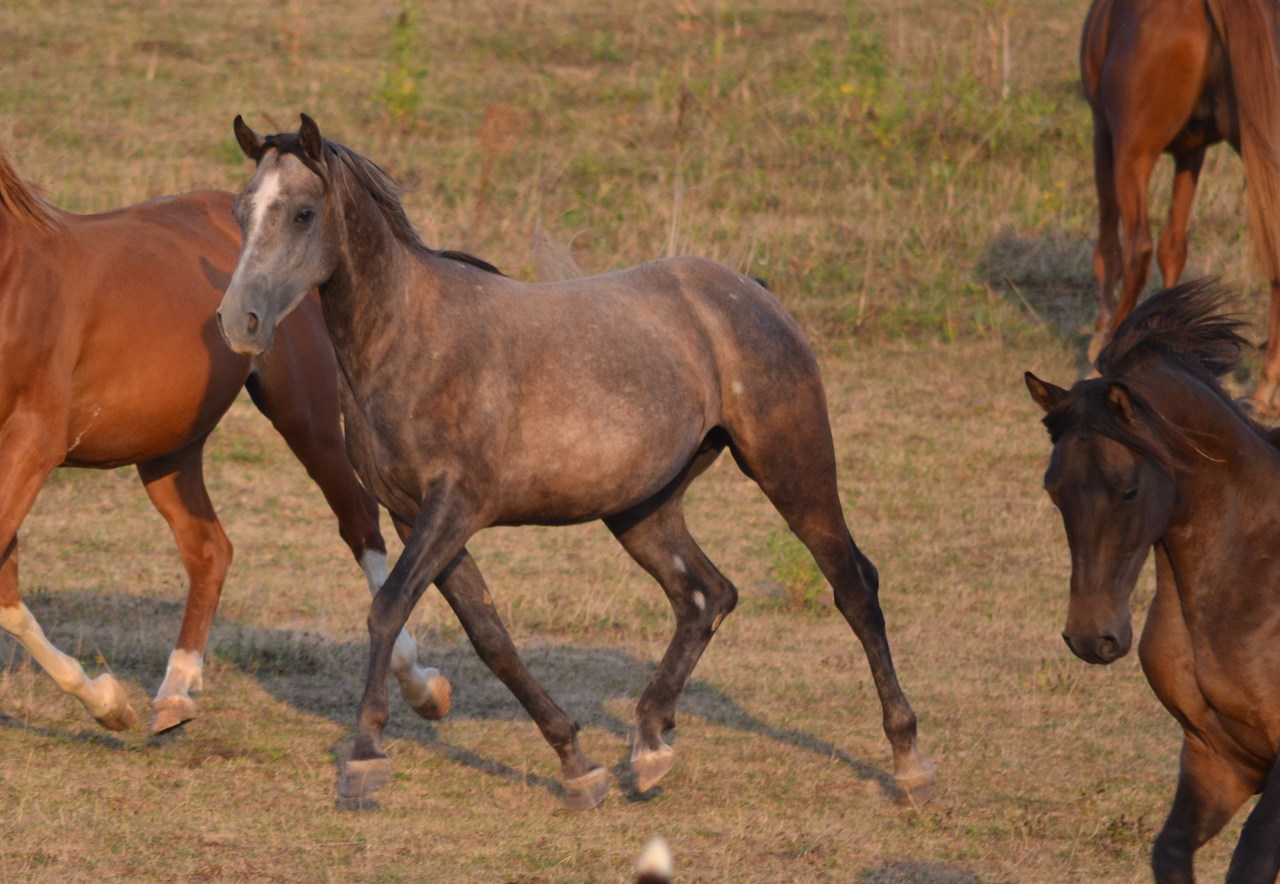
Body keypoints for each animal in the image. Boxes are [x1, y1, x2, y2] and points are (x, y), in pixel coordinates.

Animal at [0, 152, 450, 741]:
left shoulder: (33, 443)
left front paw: (107, 702)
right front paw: (109, 702)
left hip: (306, 420)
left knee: (358, 521)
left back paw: (424, 688)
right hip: (169, 448)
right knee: (210, 549)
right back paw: (174, 694)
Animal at [215, 113, 936, 813]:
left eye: (303, 213)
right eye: (243, 208)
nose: (237, 321)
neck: (409, 341)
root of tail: (751, 292)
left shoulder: (455, 507)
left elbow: (388, 609)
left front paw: (364, 758)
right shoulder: (411, 515)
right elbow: (490, 636)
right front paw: (577, 765)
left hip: (792, 466)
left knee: (852, 585)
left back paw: (908, 764)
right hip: (642, 508)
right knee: (705, 595)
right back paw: (648, 749)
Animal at [1029, 281, 1280, 880]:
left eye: (1128, 489)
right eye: (1054, 489)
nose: (1091, 638)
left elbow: (1253, 857)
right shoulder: (1219, 758)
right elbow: (1169, 850)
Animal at [1085, 0, 1280, 411]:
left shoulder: (1103, 134)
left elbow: (1109, 248)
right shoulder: (1193, 152)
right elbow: (1174, 247)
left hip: (1133, 153)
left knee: (1136, 248)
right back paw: (1265, 390)